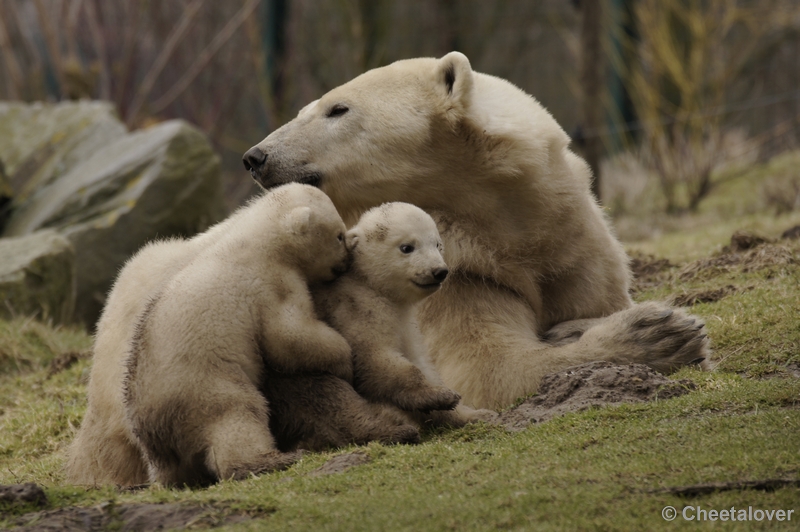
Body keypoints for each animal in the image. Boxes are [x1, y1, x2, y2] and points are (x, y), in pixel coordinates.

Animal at [123, 184, 352, 486]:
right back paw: (273, 459)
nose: (347, 261)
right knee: (239, 413)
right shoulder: (272, 282)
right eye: (339, 235)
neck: (251, 239)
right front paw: (345, 358)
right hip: (204, 387)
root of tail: (153, 424)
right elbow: (289, 338)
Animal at [241, 51, 708, 408]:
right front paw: (663, 333)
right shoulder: (456, 278)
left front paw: (579, 326)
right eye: (308, 109)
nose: (256, 156)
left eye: (337, 109)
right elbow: (491, 369)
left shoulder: (575, 249)